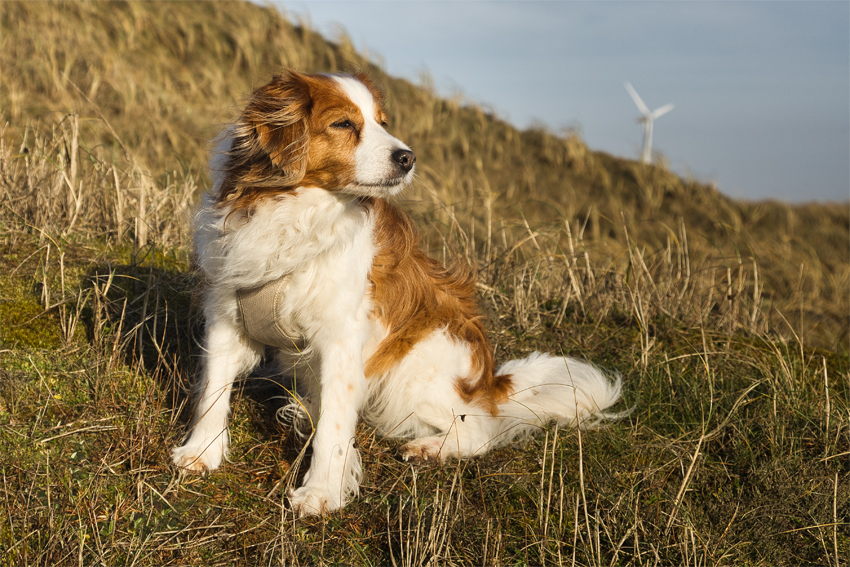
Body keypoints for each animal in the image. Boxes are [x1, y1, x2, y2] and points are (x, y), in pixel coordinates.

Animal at [172, 69, 624, 516]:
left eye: (382, 123)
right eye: (343, 124)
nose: (407, 157)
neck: (293, 213)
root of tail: (490, 381)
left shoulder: (341, 339)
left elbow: (335, 424)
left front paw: (321, 492)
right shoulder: (227, 315)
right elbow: (214, 393)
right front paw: (202, 452)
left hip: (414, 372)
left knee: (480, 427)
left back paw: (430, 447)